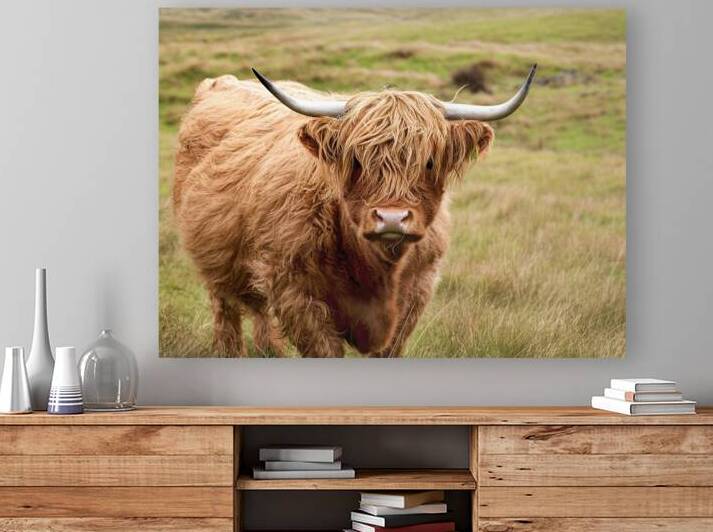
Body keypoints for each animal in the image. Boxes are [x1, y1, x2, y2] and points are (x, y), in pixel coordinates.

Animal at [172, 65, 536, 357]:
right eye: (357, 161)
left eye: (429, 162)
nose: (392, 218)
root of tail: (222, 82)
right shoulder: (294, 290)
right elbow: (324, 350)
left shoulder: (416, 291)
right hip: (215, 262)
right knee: (226, 310)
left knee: (259, 312)